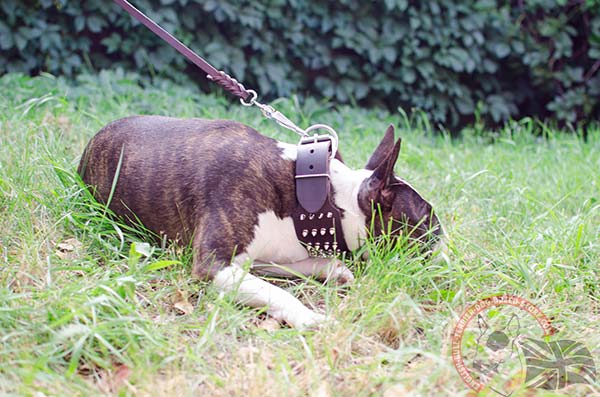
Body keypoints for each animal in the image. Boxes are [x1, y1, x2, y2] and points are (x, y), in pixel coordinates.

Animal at [78, 117, 446, 328]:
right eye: (429, 225)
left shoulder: (263, 256)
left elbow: (298, 267)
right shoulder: (214, 265)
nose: (446, 249)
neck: (315, 195)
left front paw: (335, 269)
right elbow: (277, 292)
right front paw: (308, 317)